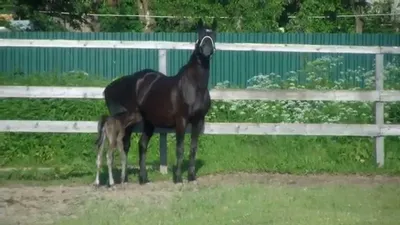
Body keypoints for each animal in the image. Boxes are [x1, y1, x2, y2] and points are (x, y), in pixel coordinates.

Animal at [101, 18, 217, 184]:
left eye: (213, 35)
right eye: (200, 34)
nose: (207, 48)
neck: (194, 86)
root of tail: (112, 87)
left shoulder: (198, 121)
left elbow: (193, 148)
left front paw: (191, 176)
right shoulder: (181, 121)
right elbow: (180, 149)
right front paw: (178, 178)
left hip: (149, 122)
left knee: (141, 145)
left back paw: (143, 178)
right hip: (127, 122)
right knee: (125, 145)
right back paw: (125, 179)